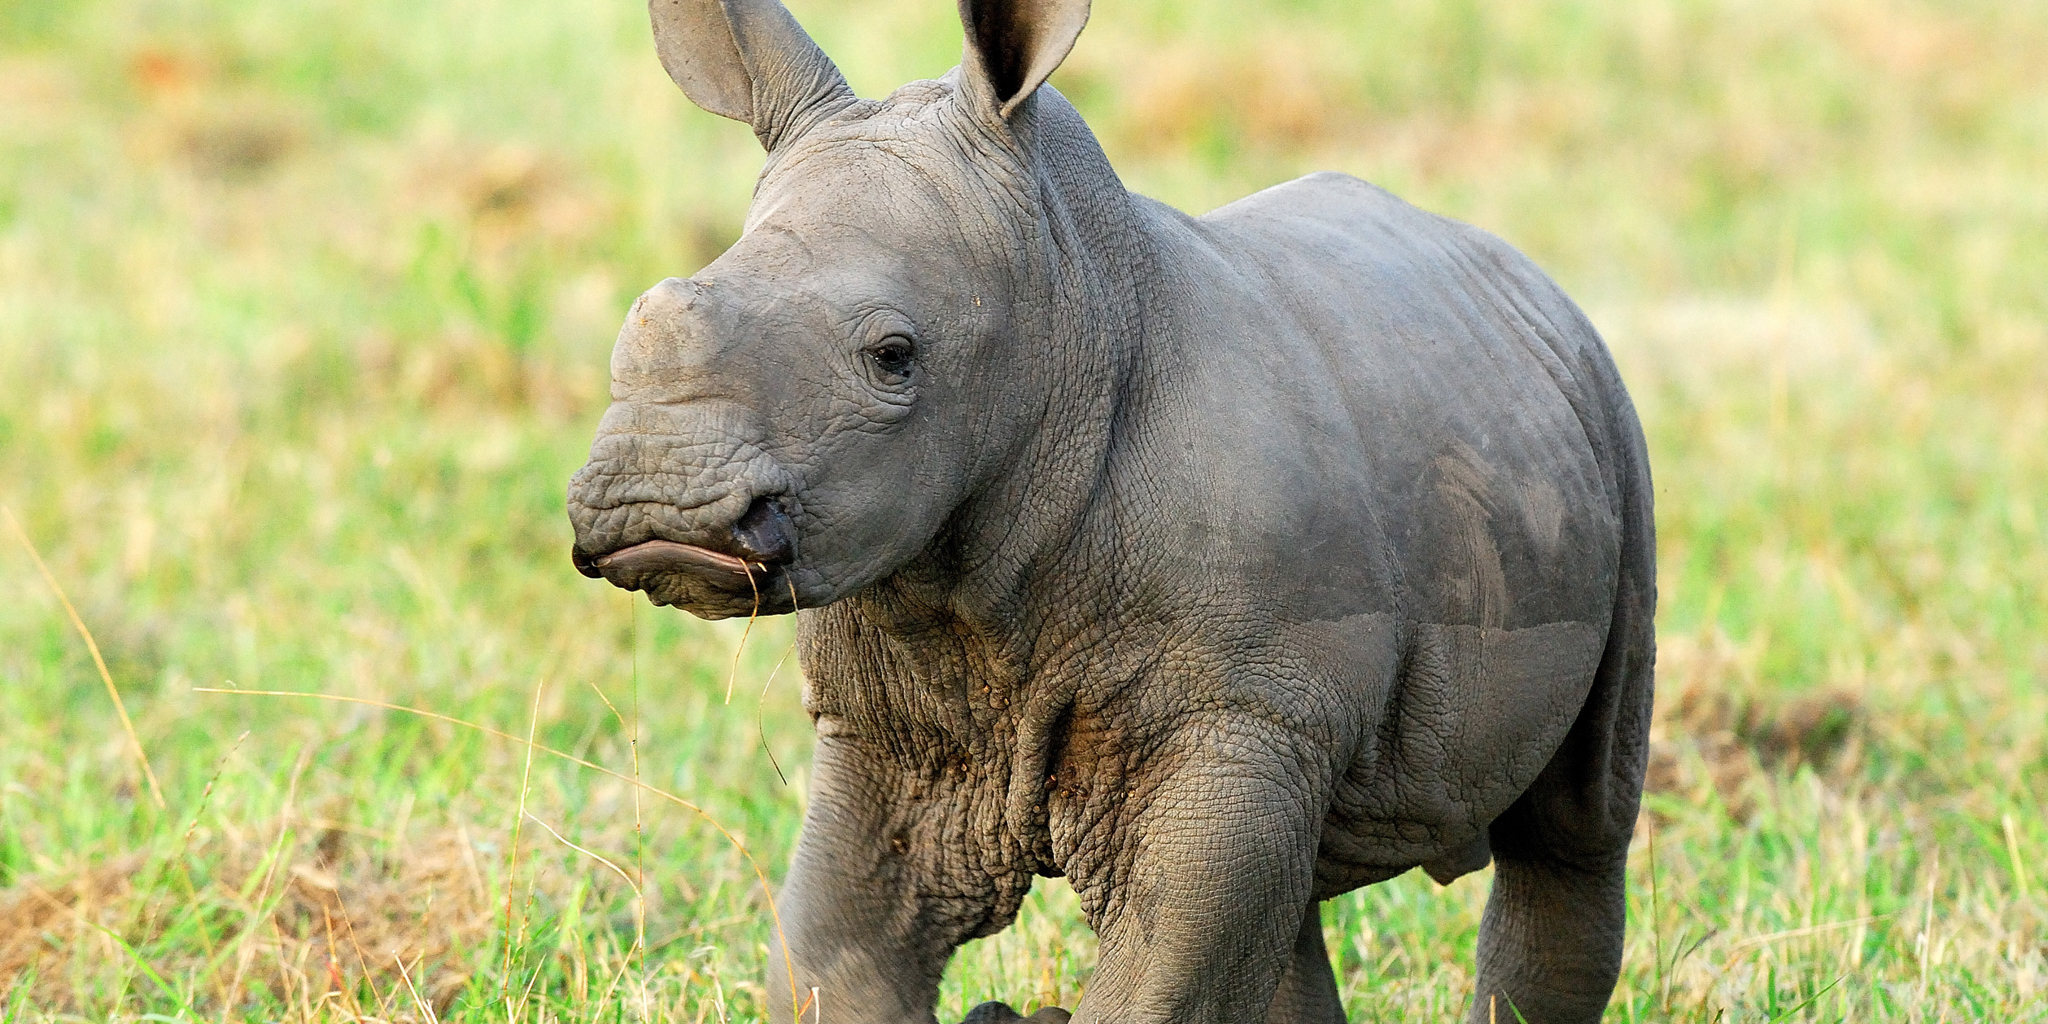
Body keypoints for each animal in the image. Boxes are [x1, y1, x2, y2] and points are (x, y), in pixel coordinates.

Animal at [566, 0, 1656, 1020]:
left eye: (893, 356)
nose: (652, 501)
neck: (1066, 312)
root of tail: (1520, 272)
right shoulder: (885, 725)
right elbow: (830, 951)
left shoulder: (1241, 716)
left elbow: (1163, 972)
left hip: (1609, 419)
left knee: (1574, 828)